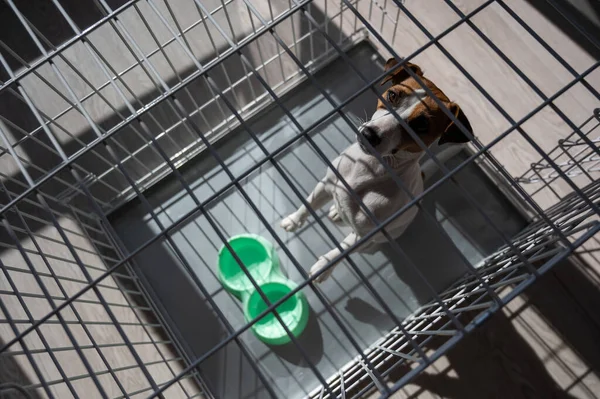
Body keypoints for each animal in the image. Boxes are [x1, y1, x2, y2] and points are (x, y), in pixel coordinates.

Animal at [282, 58, 474, 284]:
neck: (369, 168)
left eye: (421, 125)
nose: (368, 134)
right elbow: (308, 204)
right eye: (393, 95)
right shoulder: (327, 182)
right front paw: (294, 220)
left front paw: (324, 266)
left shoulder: (365, 233)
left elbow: (343, 249)